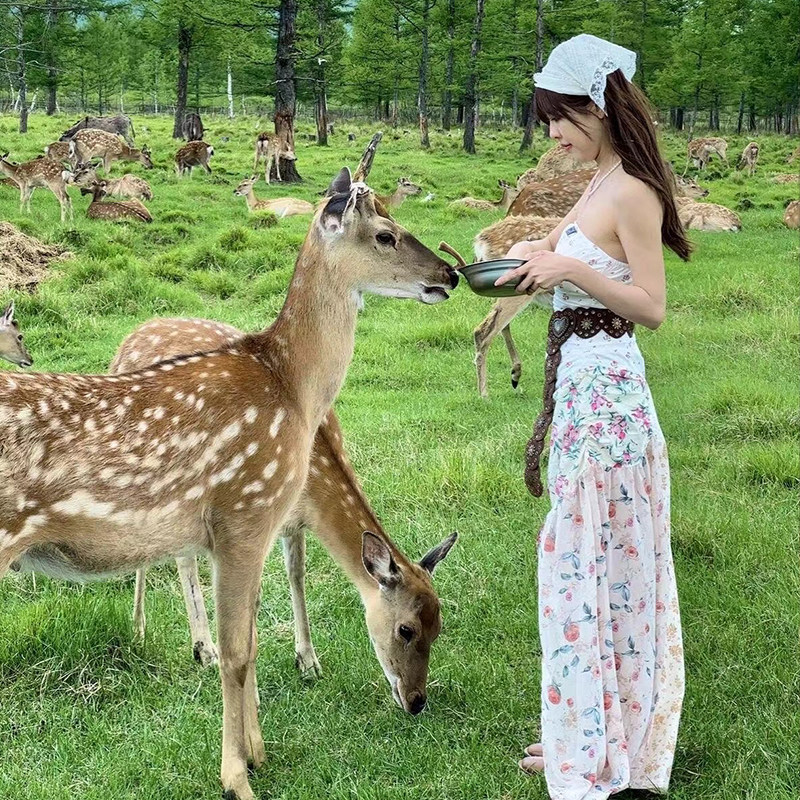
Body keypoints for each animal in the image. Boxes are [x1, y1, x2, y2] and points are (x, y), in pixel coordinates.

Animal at [104, 316, 457, 676]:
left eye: (439, 627)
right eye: (406, 629)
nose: (415, 692)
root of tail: (123, 348)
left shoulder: (293, 520)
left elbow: (296, 573)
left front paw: (308, 661)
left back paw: (140, 629)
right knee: (180, 557)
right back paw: (200, 648)